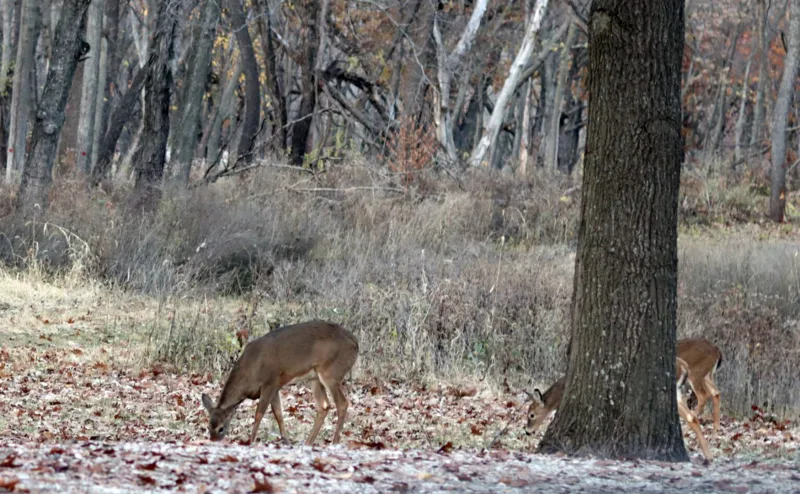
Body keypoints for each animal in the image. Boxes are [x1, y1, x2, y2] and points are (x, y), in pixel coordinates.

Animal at [201, 320, 359, 446]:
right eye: (208, 427)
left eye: (221, 428)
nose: (213, 441)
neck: (250, 371)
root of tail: (355, 343)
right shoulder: (275, 387)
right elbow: (278, 414)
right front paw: (287, 441)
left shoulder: (270, 381)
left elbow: (259, 414)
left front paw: (250, 441)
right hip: (315, 377)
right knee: (324, 406)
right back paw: (308, 443)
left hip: (331, 372)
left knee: (342, 403)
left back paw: (334, 442)